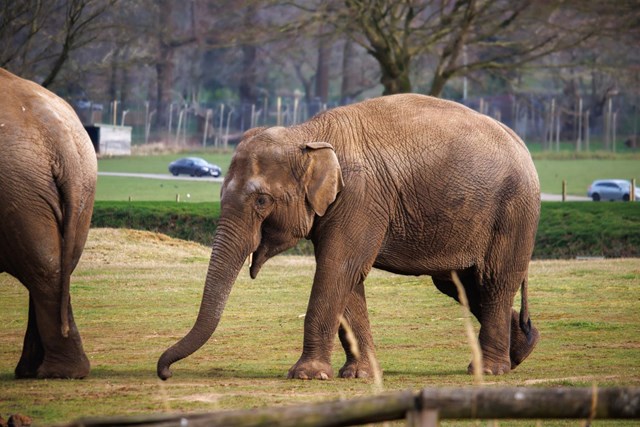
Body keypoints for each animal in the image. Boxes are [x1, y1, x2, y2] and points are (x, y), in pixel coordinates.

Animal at [0, 68, 96, 380]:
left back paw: (51, 372)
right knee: (58, 263)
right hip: (81, 189)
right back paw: (40, 371)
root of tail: (59, 137)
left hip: (18, 188)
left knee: (42, 268)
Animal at [156, 93, 540, 382]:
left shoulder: (360, 197)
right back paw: (522, 350)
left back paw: (488, 369)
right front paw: (358, 375)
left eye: (262, 201)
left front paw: (307, 375)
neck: (307, 132)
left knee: (494, 280)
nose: (165, 373)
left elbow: (338, 268)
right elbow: (349, 279)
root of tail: (523, 145)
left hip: (513, 212)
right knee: (460, 284)